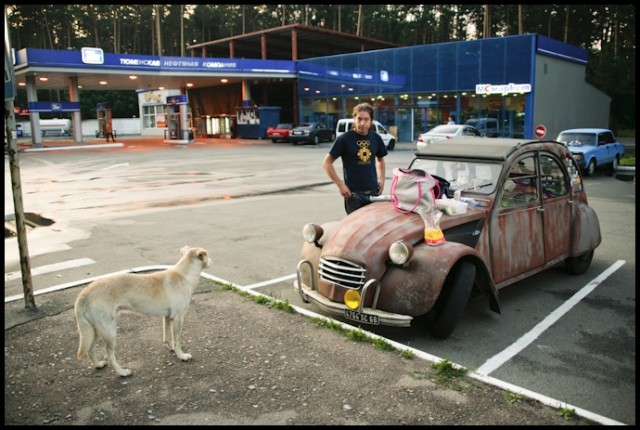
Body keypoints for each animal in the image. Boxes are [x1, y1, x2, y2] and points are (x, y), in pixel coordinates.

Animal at [74, 245, 210, 376]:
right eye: (208, 255)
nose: (212, 260)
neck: (184, 274)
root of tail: (84, 293)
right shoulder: (178, 318)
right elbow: (177, 340)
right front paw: (181, 355)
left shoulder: (167, 317)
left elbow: (166, 336)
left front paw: (170, 347)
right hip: (109, 332)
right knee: (110, 356)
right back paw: (122, 372)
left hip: (94, 330)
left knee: (90, 349)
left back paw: (98, 365)